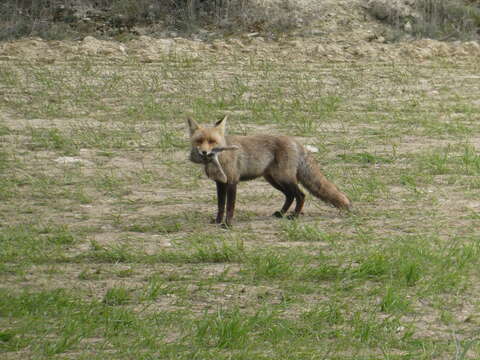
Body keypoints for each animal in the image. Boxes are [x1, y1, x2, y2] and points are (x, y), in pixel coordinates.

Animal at [187, 116, 348, 226]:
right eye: (199, 141)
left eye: (212, 141)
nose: (204, 152)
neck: (222, 157)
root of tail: (296, 141)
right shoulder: (220, 183)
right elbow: (221, 205)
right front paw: (218, 221)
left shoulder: (232, 181)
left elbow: (230, 206)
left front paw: (227, 224)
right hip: (274, 180)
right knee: (290, 196)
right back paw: (281, 213)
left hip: (284, 178)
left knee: (301, 195)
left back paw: (294, 216)